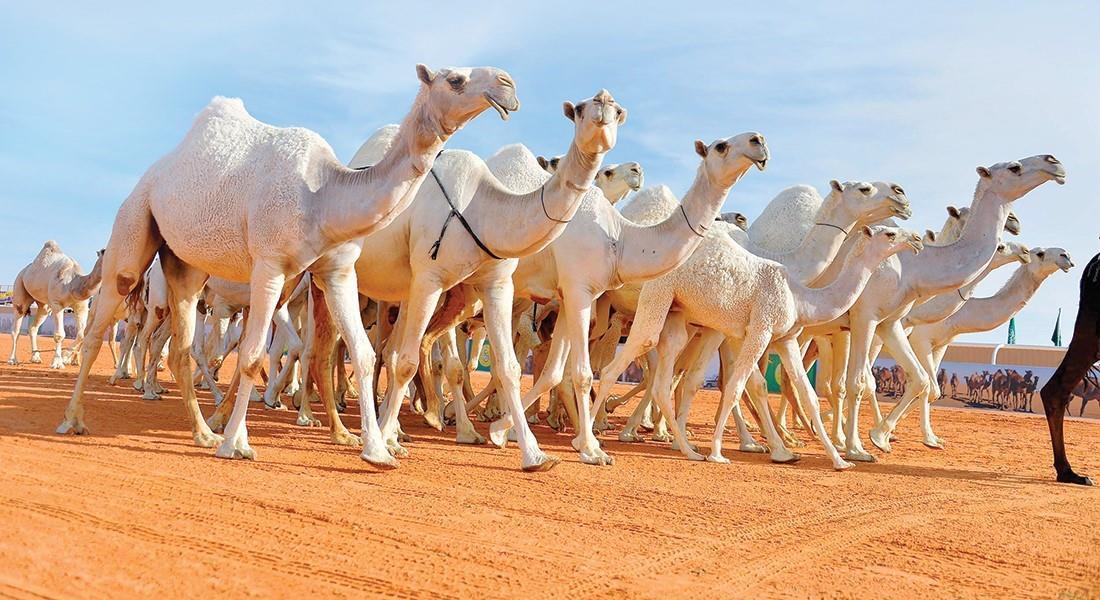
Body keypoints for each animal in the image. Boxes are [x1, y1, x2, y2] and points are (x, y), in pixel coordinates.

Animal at [58, 63, 521, 464]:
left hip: (185, 264)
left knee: (181, 347)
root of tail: (156, 171)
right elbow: (251, 356)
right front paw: (236, 445)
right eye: (455, 79)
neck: (322, 195)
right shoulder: (269, 264)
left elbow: (363, 352)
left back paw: (202, 432)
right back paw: (74, 420)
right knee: (103, 324)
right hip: (134, 222)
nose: (508, 85)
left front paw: (376, 451)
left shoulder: (336, 270)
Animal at [486, 133, 770, 464]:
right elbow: (582, 373)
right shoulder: (579, 291)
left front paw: (501, 431)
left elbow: (554, 373)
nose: (758, 140)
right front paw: (591, 448)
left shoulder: (571, 292)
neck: (621, 238)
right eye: (721, 146)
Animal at [594, 222, 919, 464]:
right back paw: (593, 440)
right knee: (617, 365)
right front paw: (719, 453)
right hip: (658, 295)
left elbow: (808, 395)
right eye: (890, 234)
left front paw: (838, 460)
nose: (916, 239)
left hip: (678, 314)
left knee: (665, 379)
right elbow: (737, 387)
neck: (800, 296)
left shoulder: (786, 338)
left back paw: (687, 449)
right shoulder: (760, 328)